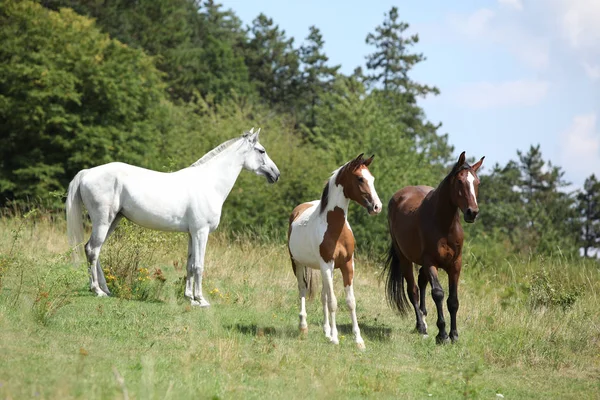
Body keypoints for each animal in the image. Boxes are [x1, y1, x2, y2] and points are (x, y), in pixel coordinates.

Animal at [65, 128, 282, 306]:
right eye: (261, 151)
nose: (276, 174)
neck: (209, 183)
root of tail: (86, 173)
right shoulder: (201, 232)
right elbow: (199, 265)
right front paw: (201, 300)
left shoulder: (192, 234)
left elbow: (190, 264)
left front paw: (189, 298)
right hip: (103, 221)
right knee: (93, 250)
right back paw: (97, 291)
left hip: (113, 220)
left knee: (94, 250)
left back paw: (105, 289)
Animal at [284, 155, 380, 348]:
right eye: (360, 179)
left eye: (372, 178)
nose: (377, 207)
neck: (335, 229)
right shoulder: (327, 265)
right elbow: (333, 302)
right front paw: (336, 338)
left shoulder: (348, 264)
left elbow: (350, 302)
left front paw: (358, 340)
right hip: (298, 263)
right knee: (303, 290)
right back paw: (303, 327)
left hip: (321, 269)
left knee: (322, 296)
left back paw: (326, 331)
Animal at [384, 151, 482, 344]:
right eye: (460, 181)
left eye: (477, 182)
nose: (472, 212)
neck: (444, 225)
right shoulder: (431, 262)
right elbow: (438, 294)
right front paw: (442, 335)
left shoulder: (455, 265)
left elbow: (453, 300)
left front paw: (454, 335)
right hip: (405, 259)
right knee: (413, 290)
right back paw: (421, 326)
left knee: (421, 282)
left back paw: (423, 315)